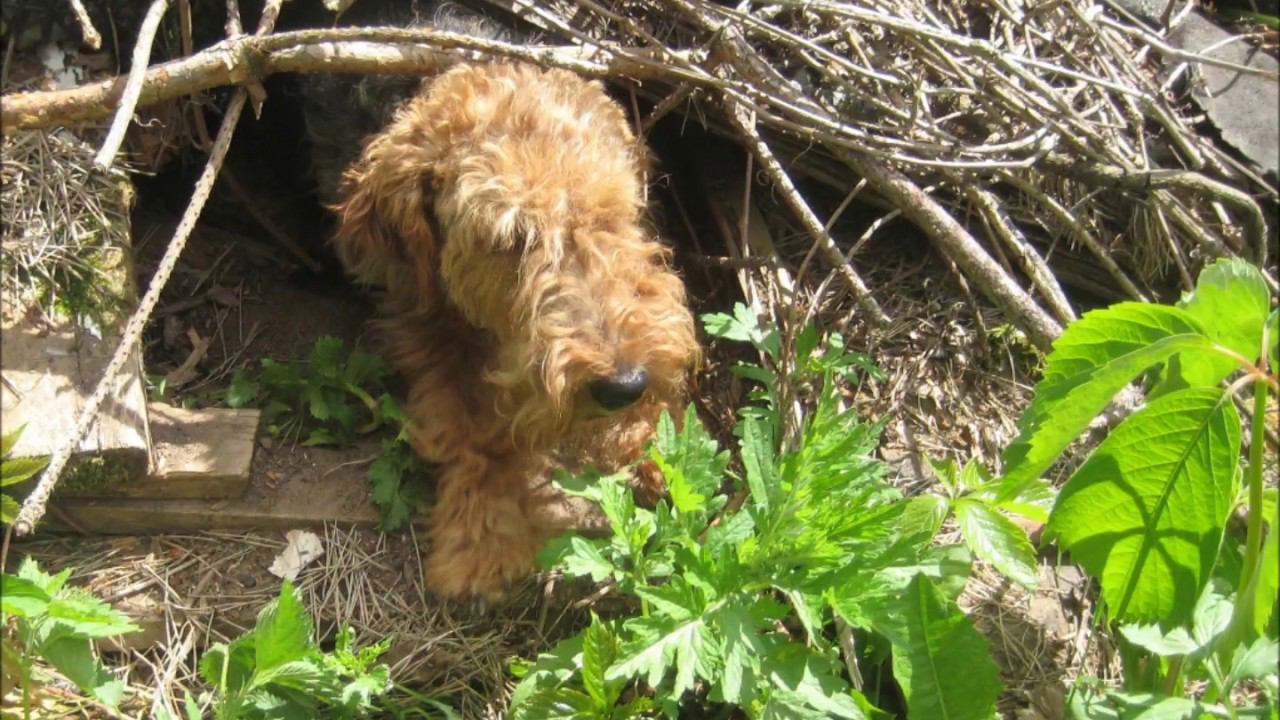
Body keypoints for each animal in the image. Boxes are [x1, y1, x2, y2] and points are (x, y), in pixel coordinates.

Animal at [306, 52, 699, 597]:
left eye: (611, 214)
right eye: (511, 239)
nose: (626, 384)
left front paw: (658, 448)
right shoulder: (419, 311)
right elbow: (475, 423)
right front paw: (486, 542)